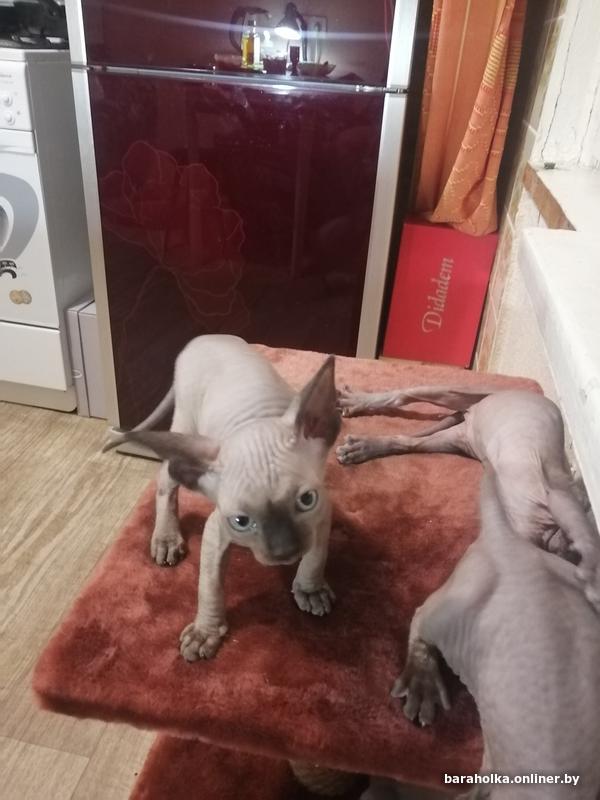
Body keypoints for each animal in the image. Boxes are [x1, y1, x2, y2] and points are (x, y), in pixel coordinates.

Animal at [104, 335, 340, 660]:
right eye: (240, 521)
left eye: (306, 500)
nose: (285, 552)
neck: (255, 422)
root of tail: (202, 338)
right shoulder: (216, 530)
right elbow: (210, 585)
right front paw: (206, 632)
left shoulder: (322, 511)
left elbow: (317, 555)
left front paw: (310, 588)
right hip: (185, 429)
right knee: (166, 480)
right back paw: (166, 538)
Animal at [336, 386, 600, 610]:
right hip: (458, 393)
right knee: (402, 395)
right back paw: (357, 402)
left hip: (457, 439)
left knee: (408, 441)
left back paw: (364, 447)